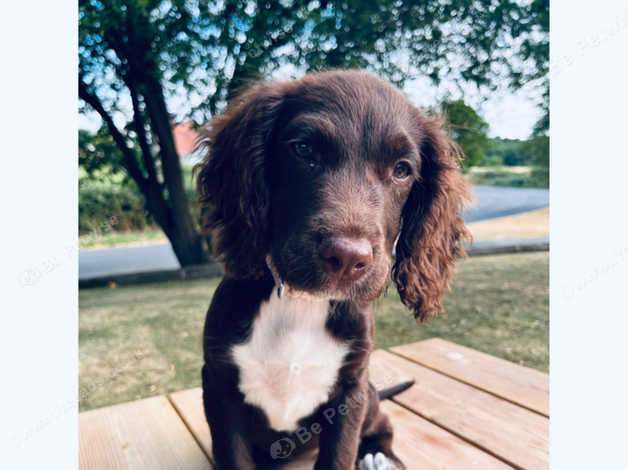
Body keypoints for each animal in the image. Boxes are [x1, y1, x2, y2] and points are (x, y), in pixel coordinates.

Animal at [196, 70, 472, 470]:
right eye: (303, 150)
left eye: (402, 170)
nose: (348, 258)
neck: (301, 304)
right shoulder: (220, 384)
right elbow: (234, 456)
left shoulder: (351, 391)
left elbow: (339, 454)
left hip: (370, 395)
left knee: (383, 426)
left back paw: (378, 456)